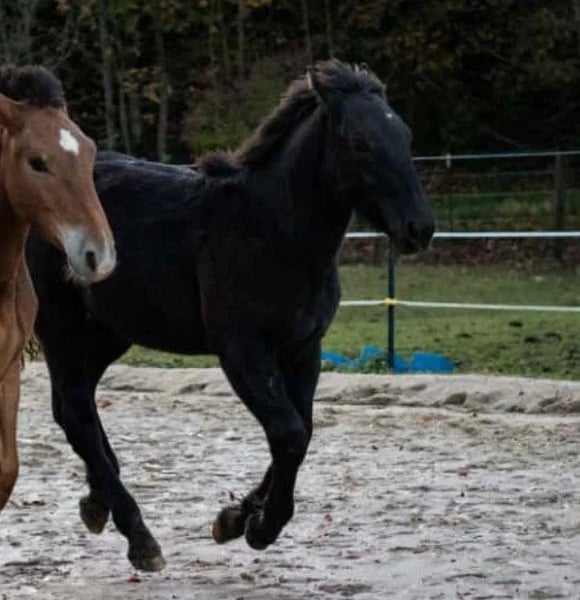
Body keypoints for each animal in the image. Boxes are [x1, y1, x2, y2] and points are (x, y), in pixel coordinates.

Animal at [27, 59, 434, 571]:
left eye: (406, 135)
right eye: (360, 142)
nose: (420, 228)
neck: (272, 228)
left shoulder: (303, 349)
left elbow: (301, 432)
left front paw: (236, 517)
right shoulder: (242, 351)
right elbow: (288, 433)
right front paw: (259, 526)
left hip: (106, 333)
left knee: (71, 408)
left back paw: (98, 503)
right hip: (61, 325)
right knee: (77, 412)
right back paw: (139, 538)